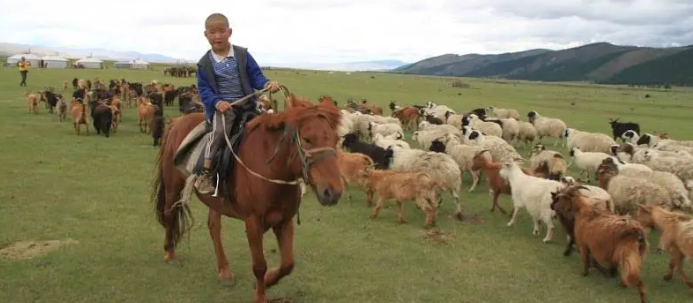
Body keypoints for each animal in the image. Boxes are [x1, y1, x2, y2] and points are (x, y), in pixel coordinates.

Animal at [153, 94, 344, 302]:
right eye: (308, 139)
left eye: (336, 139)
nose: (333, 192)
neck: (272, 169)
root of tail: (177, 122)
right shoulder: (253, 223)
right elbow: (259, 265)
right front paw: (260, 296)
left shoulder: (285, 221)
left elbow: (287, 264)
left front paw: (267, 281)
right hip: (173, 187)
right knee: (170, 214)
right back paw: (170, 253)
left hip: (216, 201)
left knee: (214, 227)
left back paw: (224, 271)